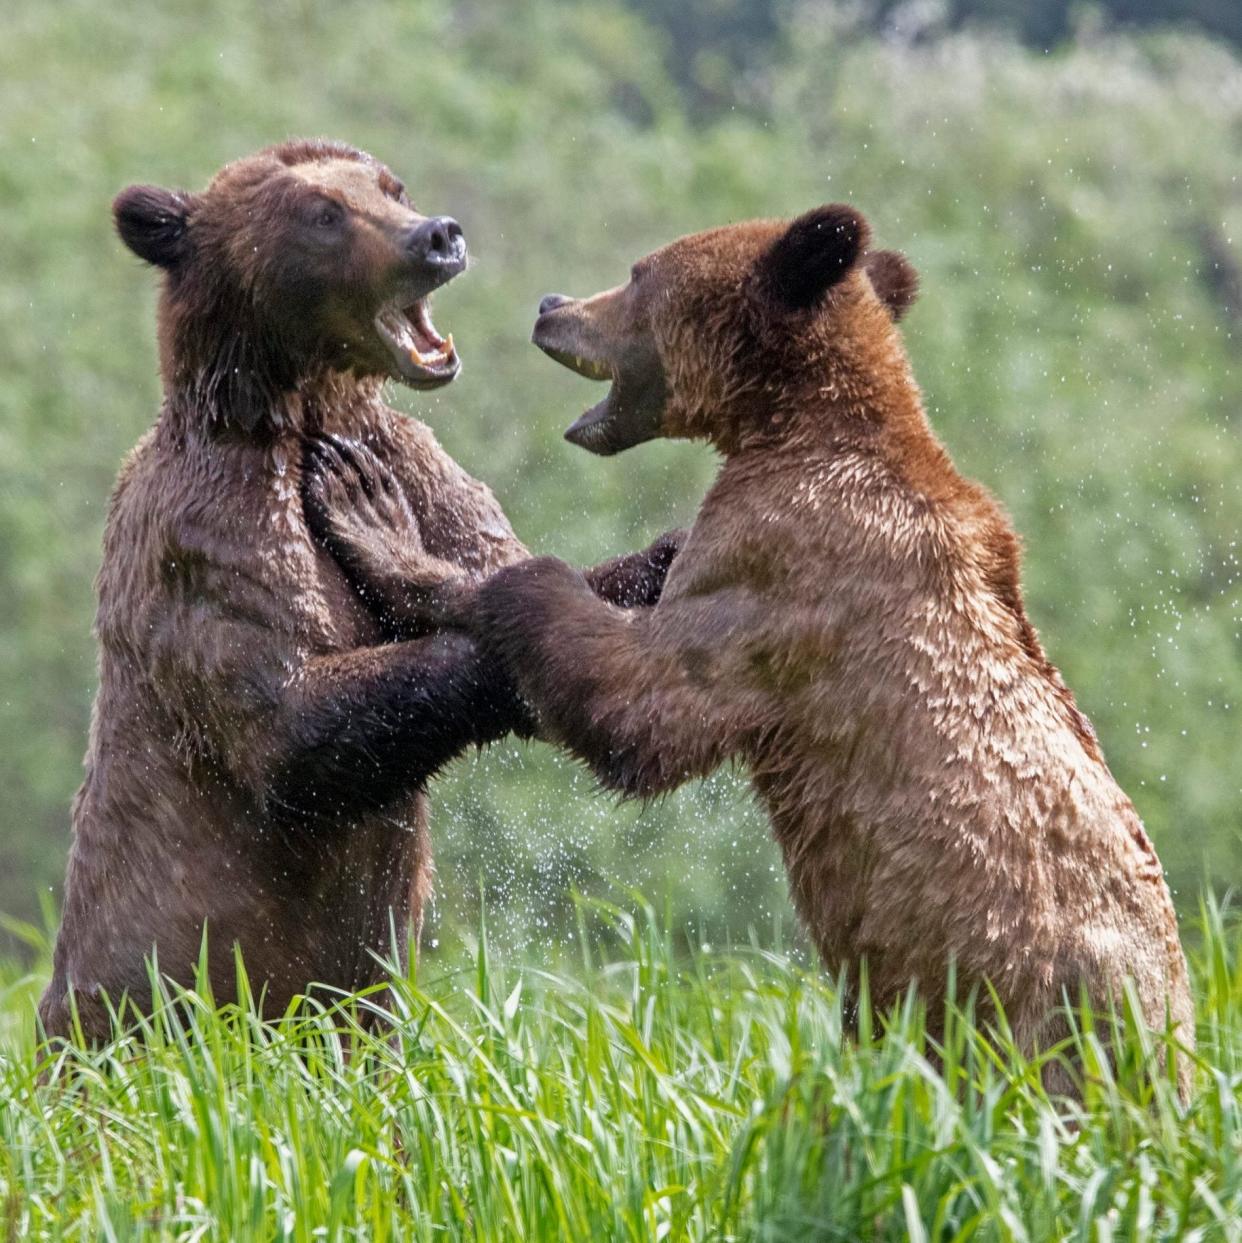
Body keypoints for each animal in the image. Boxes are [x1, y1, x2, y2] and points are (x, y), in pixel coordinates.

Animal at [41, 138, 681, 1039]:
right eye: (322, 213)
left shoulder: (420, 466)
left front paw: (660, 563)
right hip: (140, 1004)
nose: (437, 235)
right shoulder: (212, 528)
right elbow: (289, 717)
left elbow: (505, 564)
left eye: (391, 186)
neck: (311, 414)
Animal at [440, 208, 1193, 1093]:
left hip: (1020, 1001)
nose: (551, 305)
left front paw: (517, 578)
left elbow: (648, 701)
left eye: (635, 274)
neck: (794, 423)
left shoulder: (782, 568)